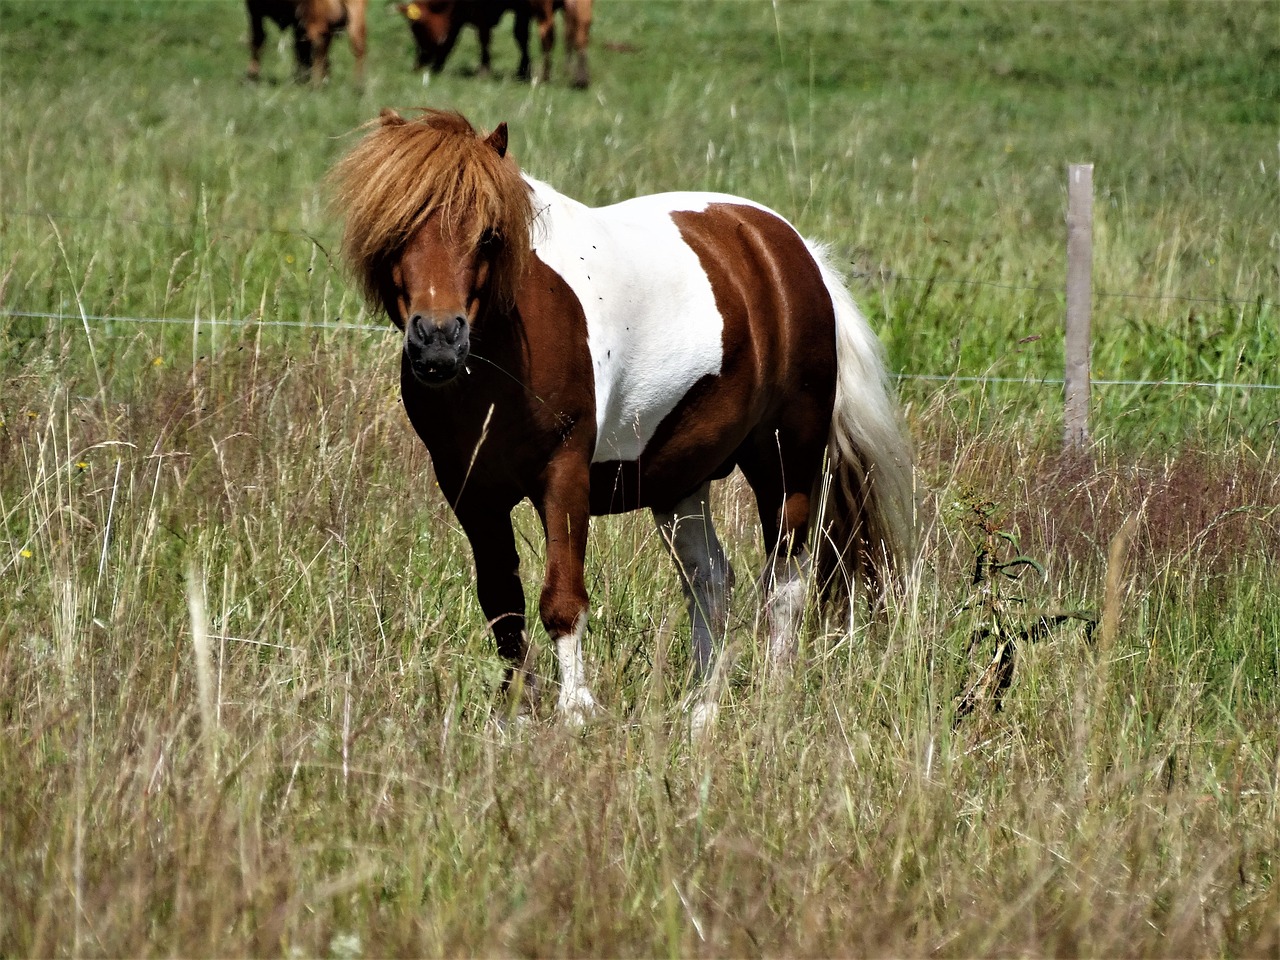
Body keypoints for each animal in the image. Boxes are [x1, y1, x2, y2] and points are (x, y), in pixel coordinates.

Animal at [331, 109, 914, 729]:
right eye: (396, 232)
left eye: (489, 234)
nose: (438, 341)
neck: (504, 349)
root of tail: (792, 250)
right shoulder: (470, 491)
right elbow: (502, 603)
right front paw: (516, 712)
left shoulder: (564, 475)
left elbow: (561, 599)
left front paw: (575, 712)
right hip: (680, 480)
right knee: (711, 580)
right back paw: (699, 710)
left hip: (787, 463)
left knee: (785, 583)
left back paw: (772, 702)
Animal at [395, 0, 591, 88]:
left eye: (415, 28)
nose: (417, 66)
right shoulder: (522, 10)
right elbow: (521, 36)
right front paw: (523, 71)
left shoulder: (479, 9)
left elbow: (483, 37)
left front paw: (484, 70)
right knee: (580, 30)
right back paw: (579, 77)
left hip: (543, 8)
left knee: (548, 35)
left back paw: (545, 77)